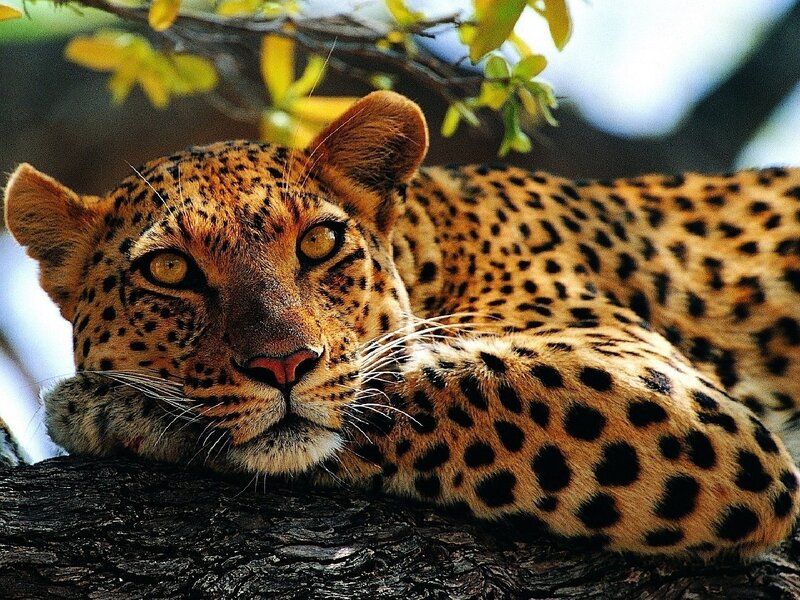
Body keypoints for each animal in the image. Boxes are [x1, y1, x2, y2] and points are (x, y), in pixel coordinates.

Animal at [4, 90, 800, 558]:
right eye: (169, 270)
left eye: (319, 242)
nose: (283, 365)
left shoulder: (670, 397)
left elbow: (419, 389)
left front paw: (106, 406)